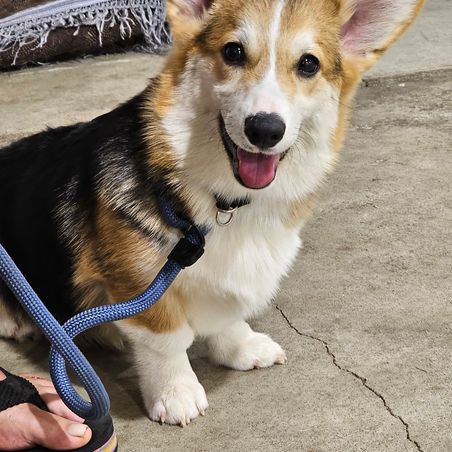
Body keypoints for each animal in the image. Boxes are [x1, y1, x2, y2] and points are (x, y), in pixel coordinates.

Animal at [0, 0, 423, 425]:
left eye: (308, 64)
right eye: (233, 52)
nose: (265, 129)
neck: (225, 202)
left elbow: (226, 317)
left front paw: (242, 347)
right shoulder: (139, 283)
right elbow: (167, 340)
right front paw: (176, 393)